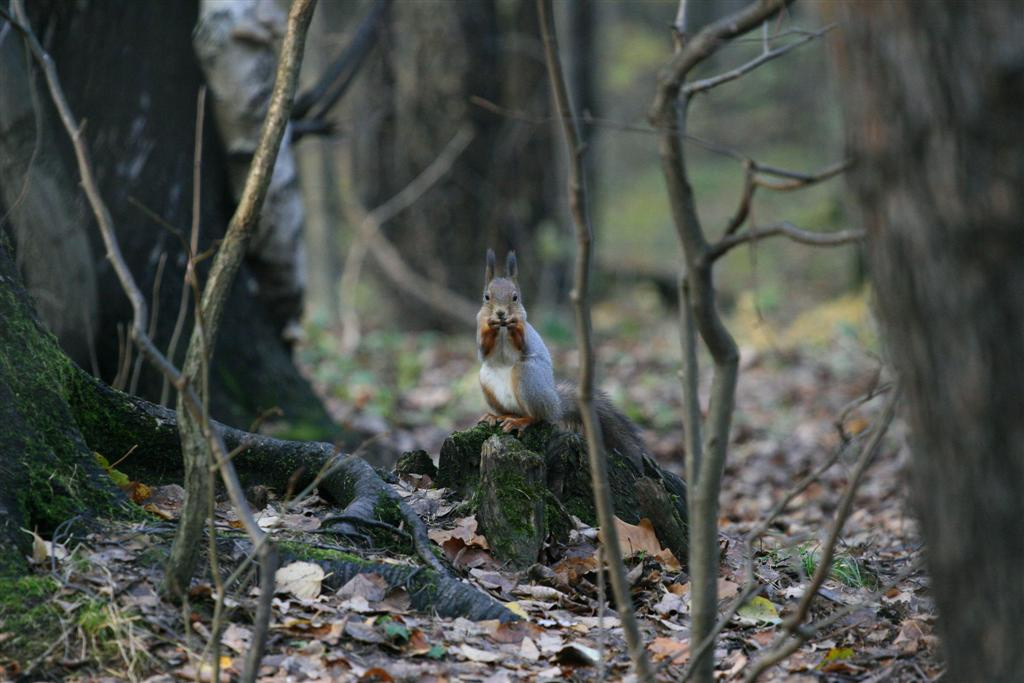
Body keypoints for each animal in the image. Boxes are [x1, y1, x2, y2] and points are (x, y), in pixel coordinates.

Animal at [476, 249, 648, 471]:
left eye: (515, 297)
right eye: (486, 297)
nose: (501, 313)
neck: (502, 329)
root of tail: (556, 405)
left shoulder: (527, 337)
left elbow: (523, 344)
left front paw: (515, 326)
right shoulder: (481, 337)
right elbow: (484, 351)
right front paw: (490, 326)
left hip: (528, 376)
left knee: (537, 416)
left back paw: (520, 421)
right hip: (486, 379)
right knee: (512, 411)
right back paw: (497, 416)